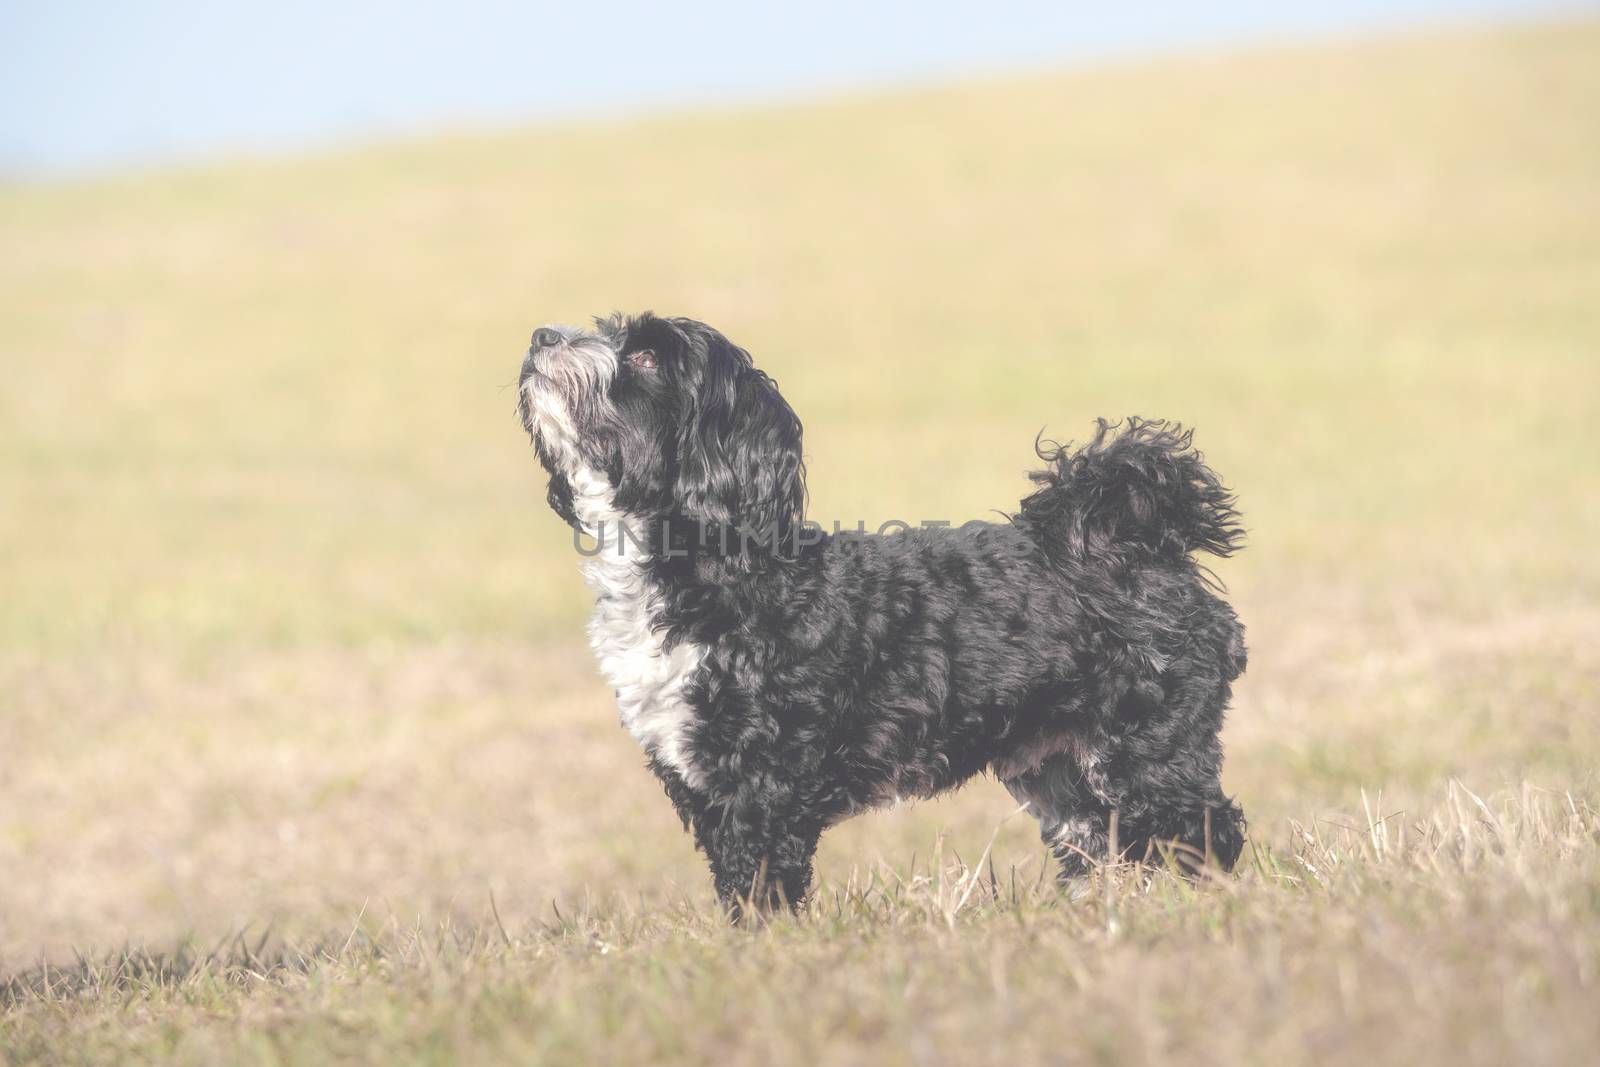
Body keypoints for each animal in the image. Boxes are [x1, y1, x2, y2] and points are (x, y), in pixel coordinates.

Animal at [518, 313, 1241, 915]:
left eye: (643, 356)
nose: (541, 335)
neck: (719, 571)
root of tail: (1133, 541)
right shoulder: (701, 783)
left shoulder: (764, 785)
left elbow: (759, 887)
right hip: (1061, 766)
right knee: (1106, 847)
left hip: (1150, 750)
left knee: (1208, 833)